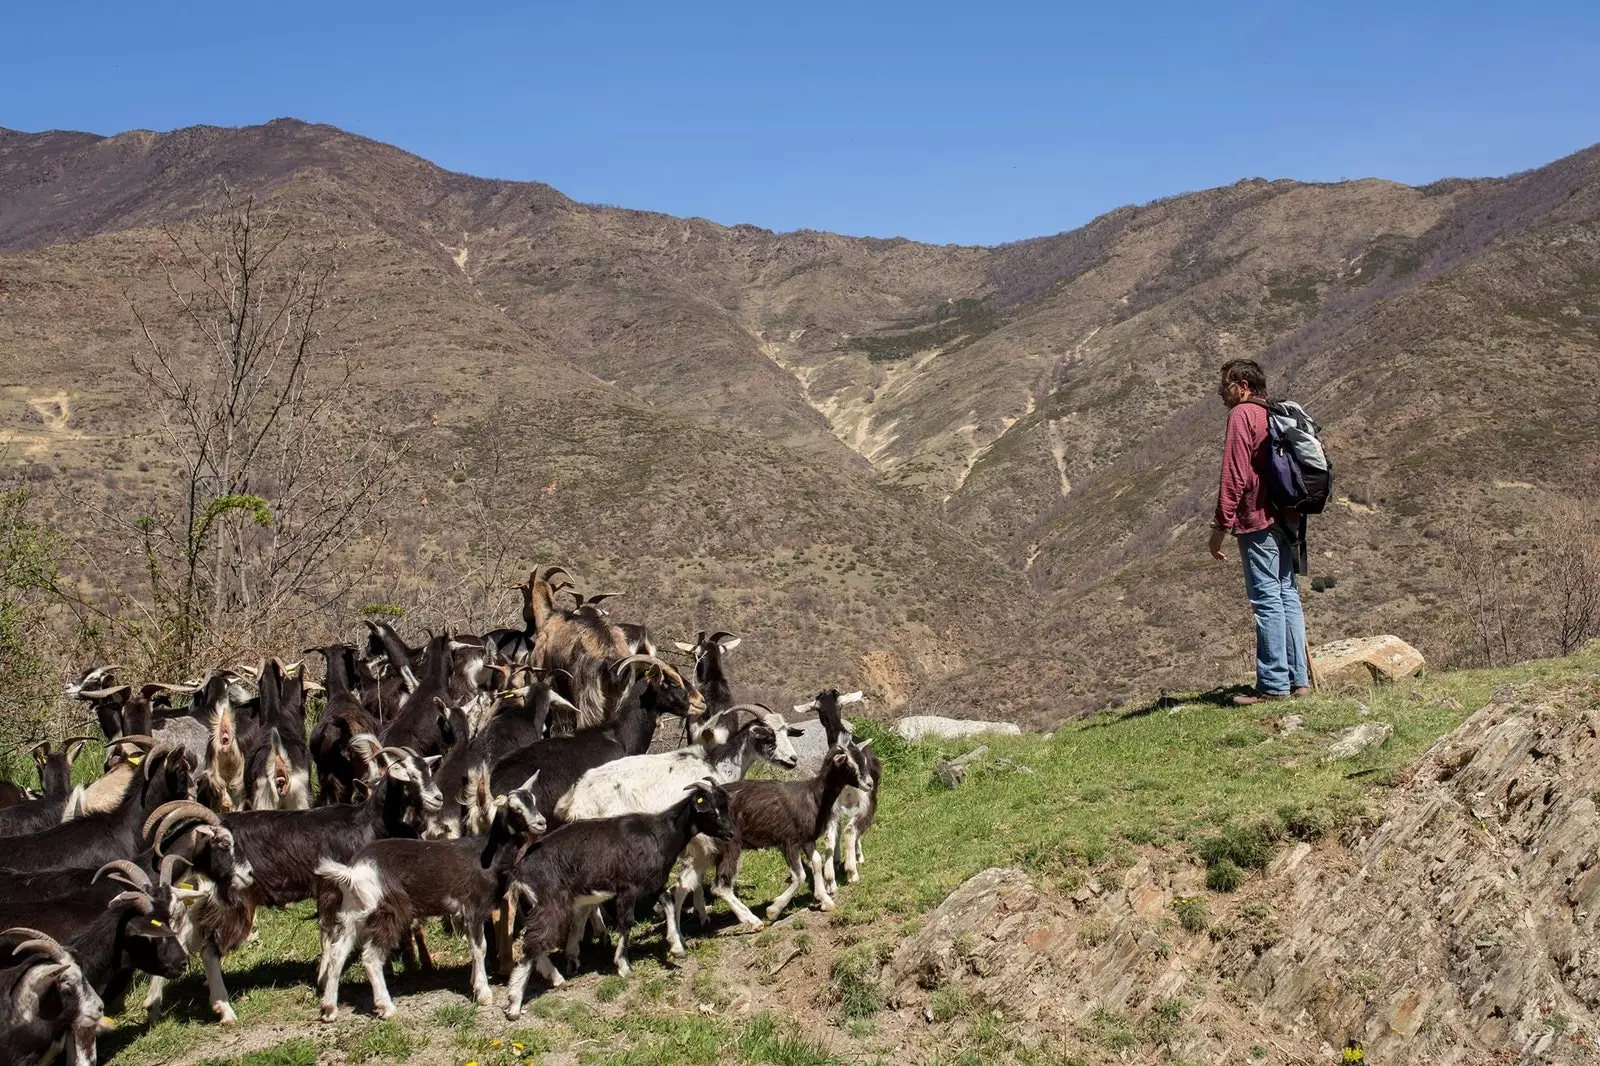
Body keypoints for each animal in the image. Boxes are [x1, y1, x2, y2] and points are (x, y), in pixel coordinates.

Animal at [312, 771, 550, 1011]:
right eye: (516, 808)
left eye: (533, 801)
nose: (541, 823)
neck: (488, 854)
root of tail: (353, 870)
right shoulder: (473, 907)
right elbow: (479, 948)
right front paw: (483, 993)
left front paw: (474, 984)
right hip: (387, 911)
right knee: (371, 957)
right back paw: (386, 1007)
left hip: (355, 912)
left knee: (338, 953)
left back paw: (329, 1008)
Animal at [665, 736, 876, 947]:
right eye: (849, 764)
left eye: (863, 760)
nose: (869, 784)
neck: (814, 796)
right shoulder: (788, 841)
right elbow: (800, 876)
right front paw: (773, 910)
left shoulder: (806, 840)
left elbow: (816, 862)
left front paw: (824, 900)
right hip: (729, 845)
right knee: (720, 886)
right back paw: (753, 921)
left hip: (702, 852)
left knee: (681, 886)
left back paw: (677, 940)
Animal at [796, 685, 883, 883]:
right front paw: (858, 857)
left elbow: (836, 830)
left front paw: (835, 861)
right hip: (868, 797)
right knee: (851, 830)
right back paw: (851, 871)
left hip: (830, 801)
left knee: (830, 835)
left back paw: (829, 877)